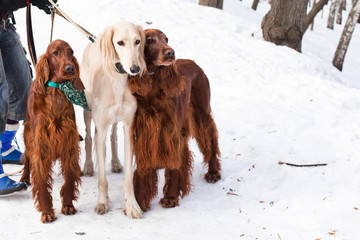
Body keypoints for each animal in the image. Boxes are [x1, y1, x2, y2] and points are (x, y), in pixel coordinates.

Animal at [80, 21, 145, 218]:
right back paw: (88, 166)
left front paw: (132, 205)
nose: (135, 69)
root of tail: (93, 40)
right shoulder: (100, 129)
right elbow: (102, 178)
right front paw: (102, 203)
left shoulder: (129, 126)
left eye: (137, 41)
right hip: (87, 110)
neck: (117, 80)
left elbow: (129, 179)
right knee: (89, 136)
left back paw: (115, 162)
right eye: (120, 43)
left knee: (114, 135)